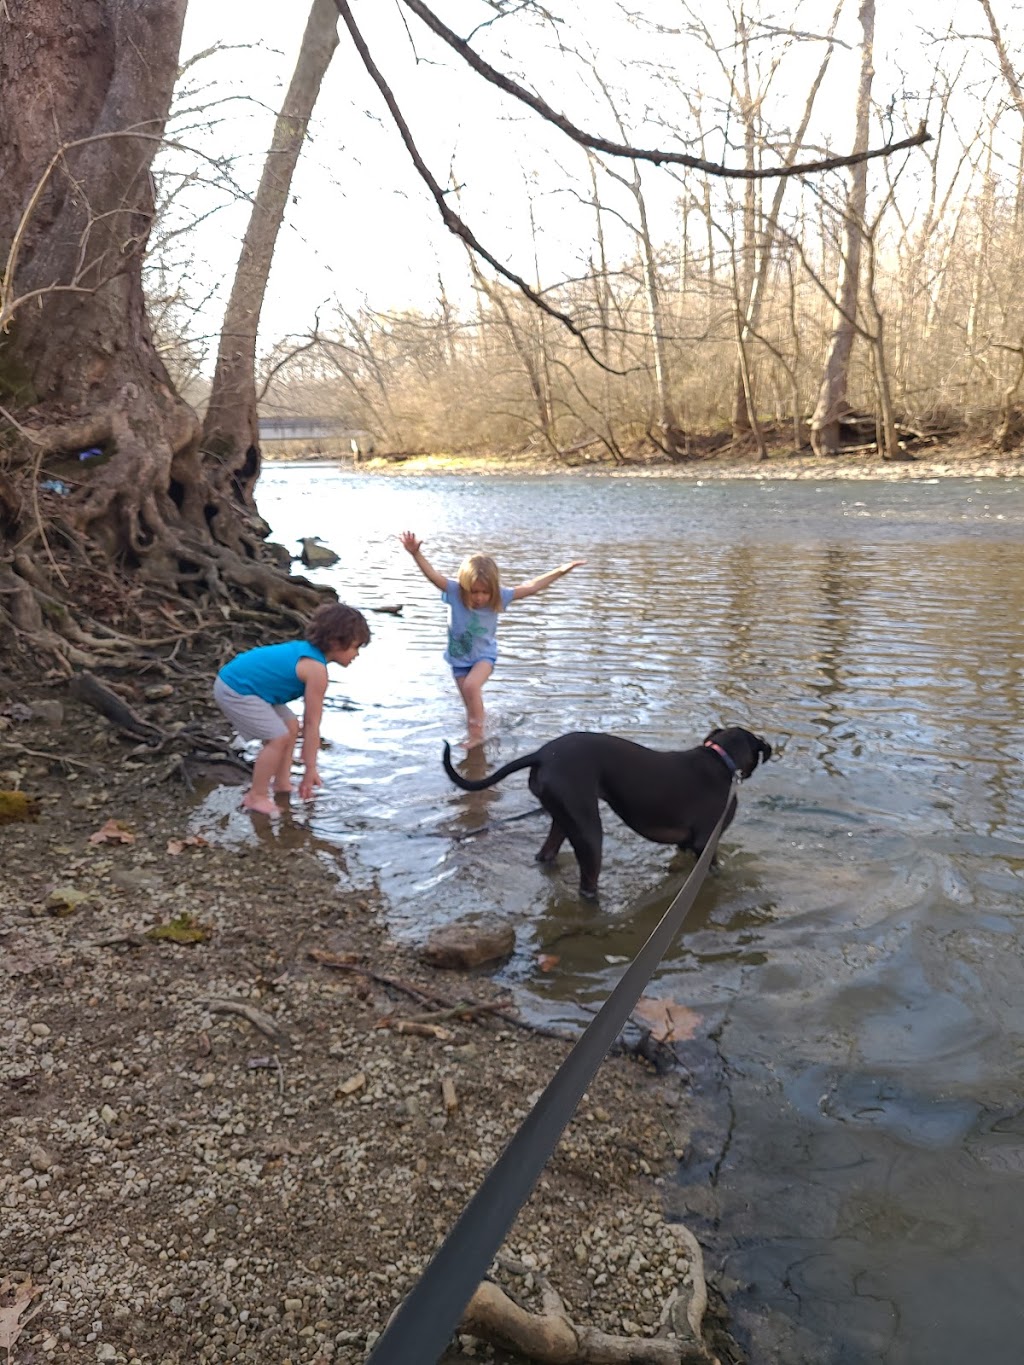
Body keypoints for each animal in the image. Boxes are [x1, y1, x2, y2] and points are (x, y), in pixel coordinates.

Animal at [442, 731, 770, 900]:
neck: (721, 760)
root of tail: (541, 754)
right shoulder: (706, 843)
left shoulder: (685, 844)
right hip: (590, 834)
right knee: (587, 886)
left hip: (563, 819)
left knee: (546, 854)